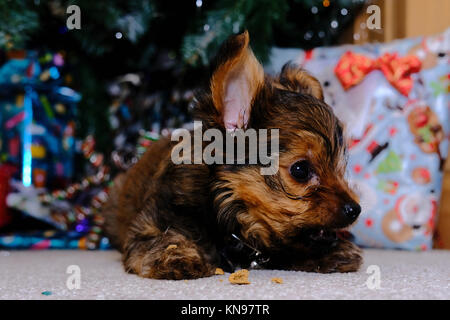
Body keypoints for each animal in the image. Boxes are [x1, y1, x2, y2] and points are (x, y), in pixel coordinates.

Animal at [102, 31, 362, 278]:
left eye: (338, 166)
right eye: (300, 170)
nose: (355, 209)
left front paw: (331, 253)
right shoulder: (150, 226)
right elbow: (164, 237)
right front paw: (177, 255)